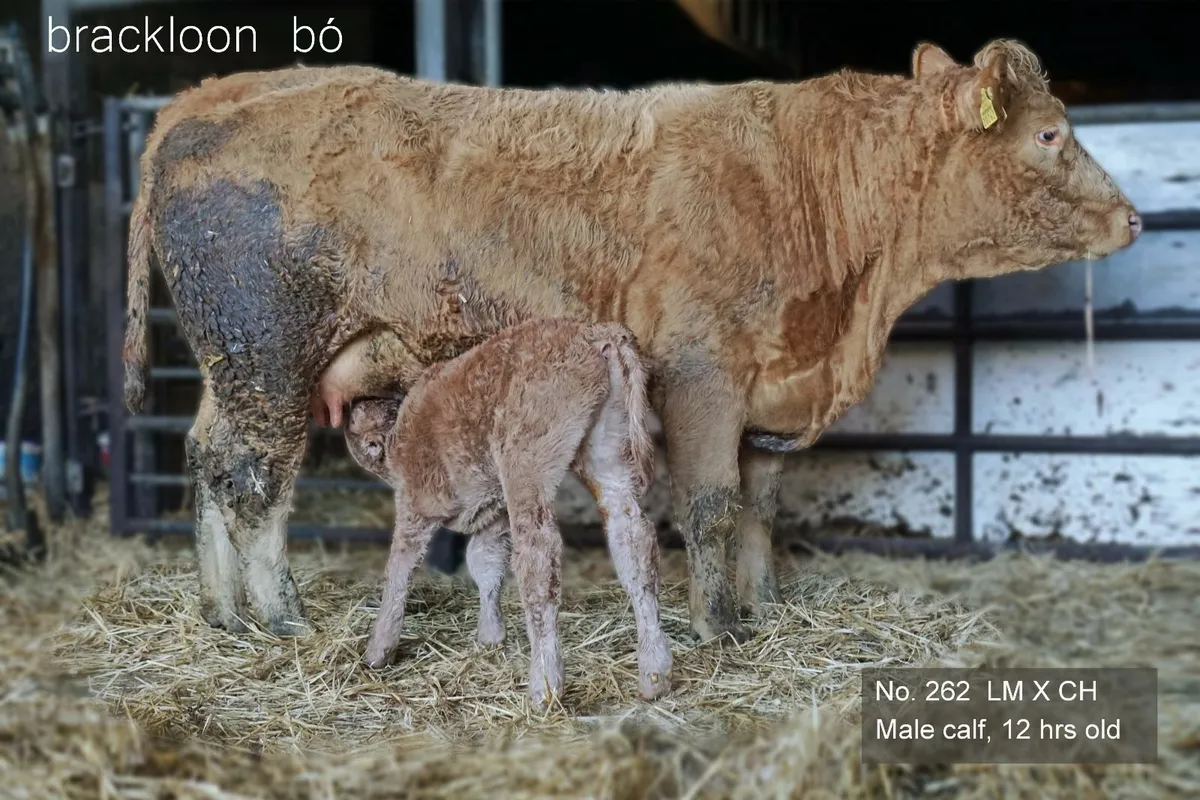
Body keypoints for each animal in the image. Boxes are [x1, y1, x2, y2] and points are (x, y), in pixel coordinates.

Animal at [122, 38, 1141, 644]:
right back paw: (282, 617)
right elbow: (712, 506)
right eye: (1051, 134)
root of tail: (214, 91)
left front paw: (762, 606)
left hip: (229, 367)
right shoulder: (703, 374)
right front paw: (715, 628)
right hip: (266, 356)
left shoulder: (771, 389)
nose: (1133, 218)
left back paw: (222, 612)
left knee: (207, 459)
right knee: (254, 480)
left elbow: (760, 506)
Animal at [334, 318, 673, 708]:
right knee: (632, 540)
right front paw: (491, 634)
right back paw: (655, 673)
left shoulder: (415, 502)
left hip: (526, 462)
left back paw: (544, 686)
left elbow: (399, 570)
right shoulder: (492, 514)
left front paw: (379, 650)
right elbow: (484, 561)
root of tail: (595, 333)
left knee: (538, 560)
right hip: (608, 450)